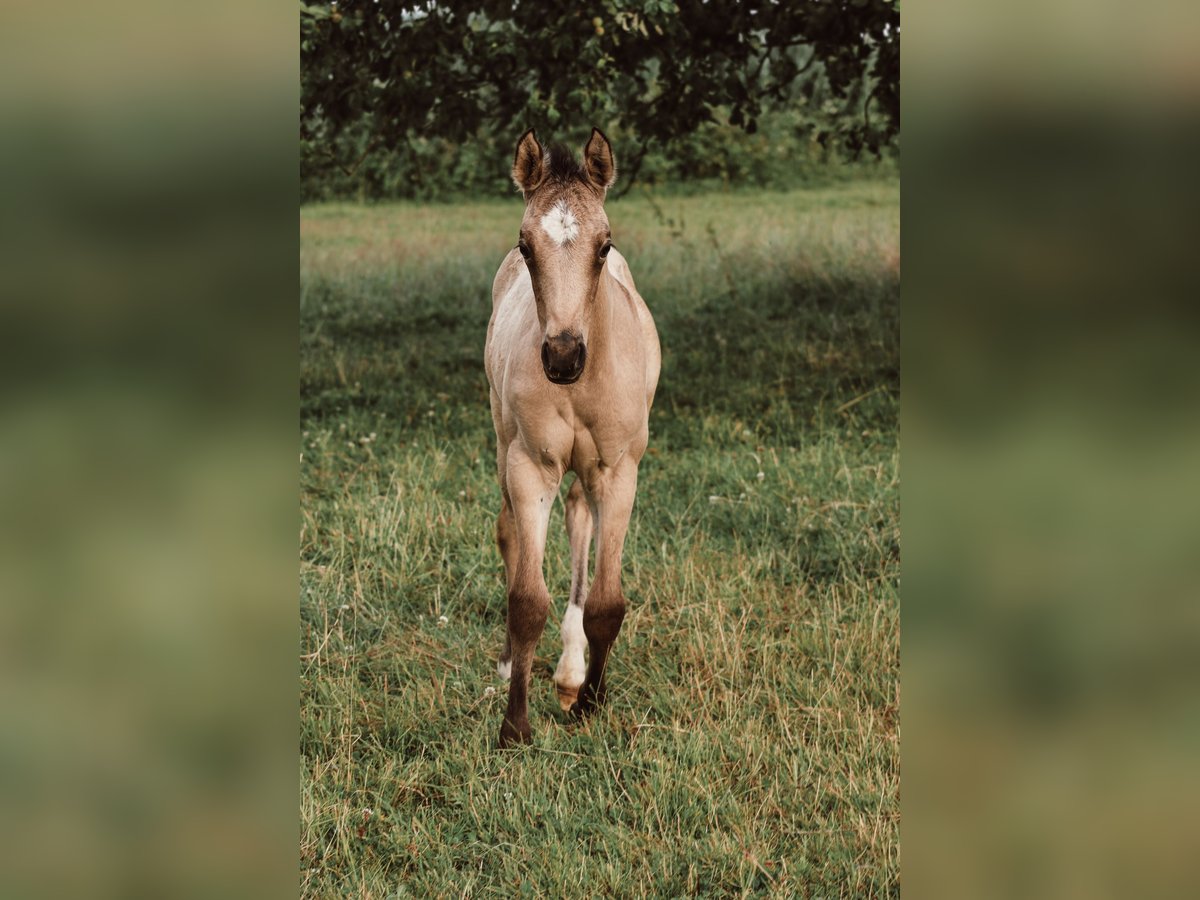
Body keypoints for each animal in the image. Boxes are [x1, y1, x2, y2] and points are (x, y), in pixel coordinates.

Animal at [484, 128, 661, 747]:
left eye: (603, 247)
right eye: (526, 246)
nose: (562, 356)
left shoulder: (619, 471)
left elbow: (606, 602)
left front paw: (590, 700)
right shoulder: (530, 466)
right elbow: (526, 599)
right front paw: (515, 726)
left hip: (589, 475)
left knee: (580, 520)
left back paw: (569, 672)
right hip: (502, 442)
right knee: (509, 532)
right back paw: (515, 664)